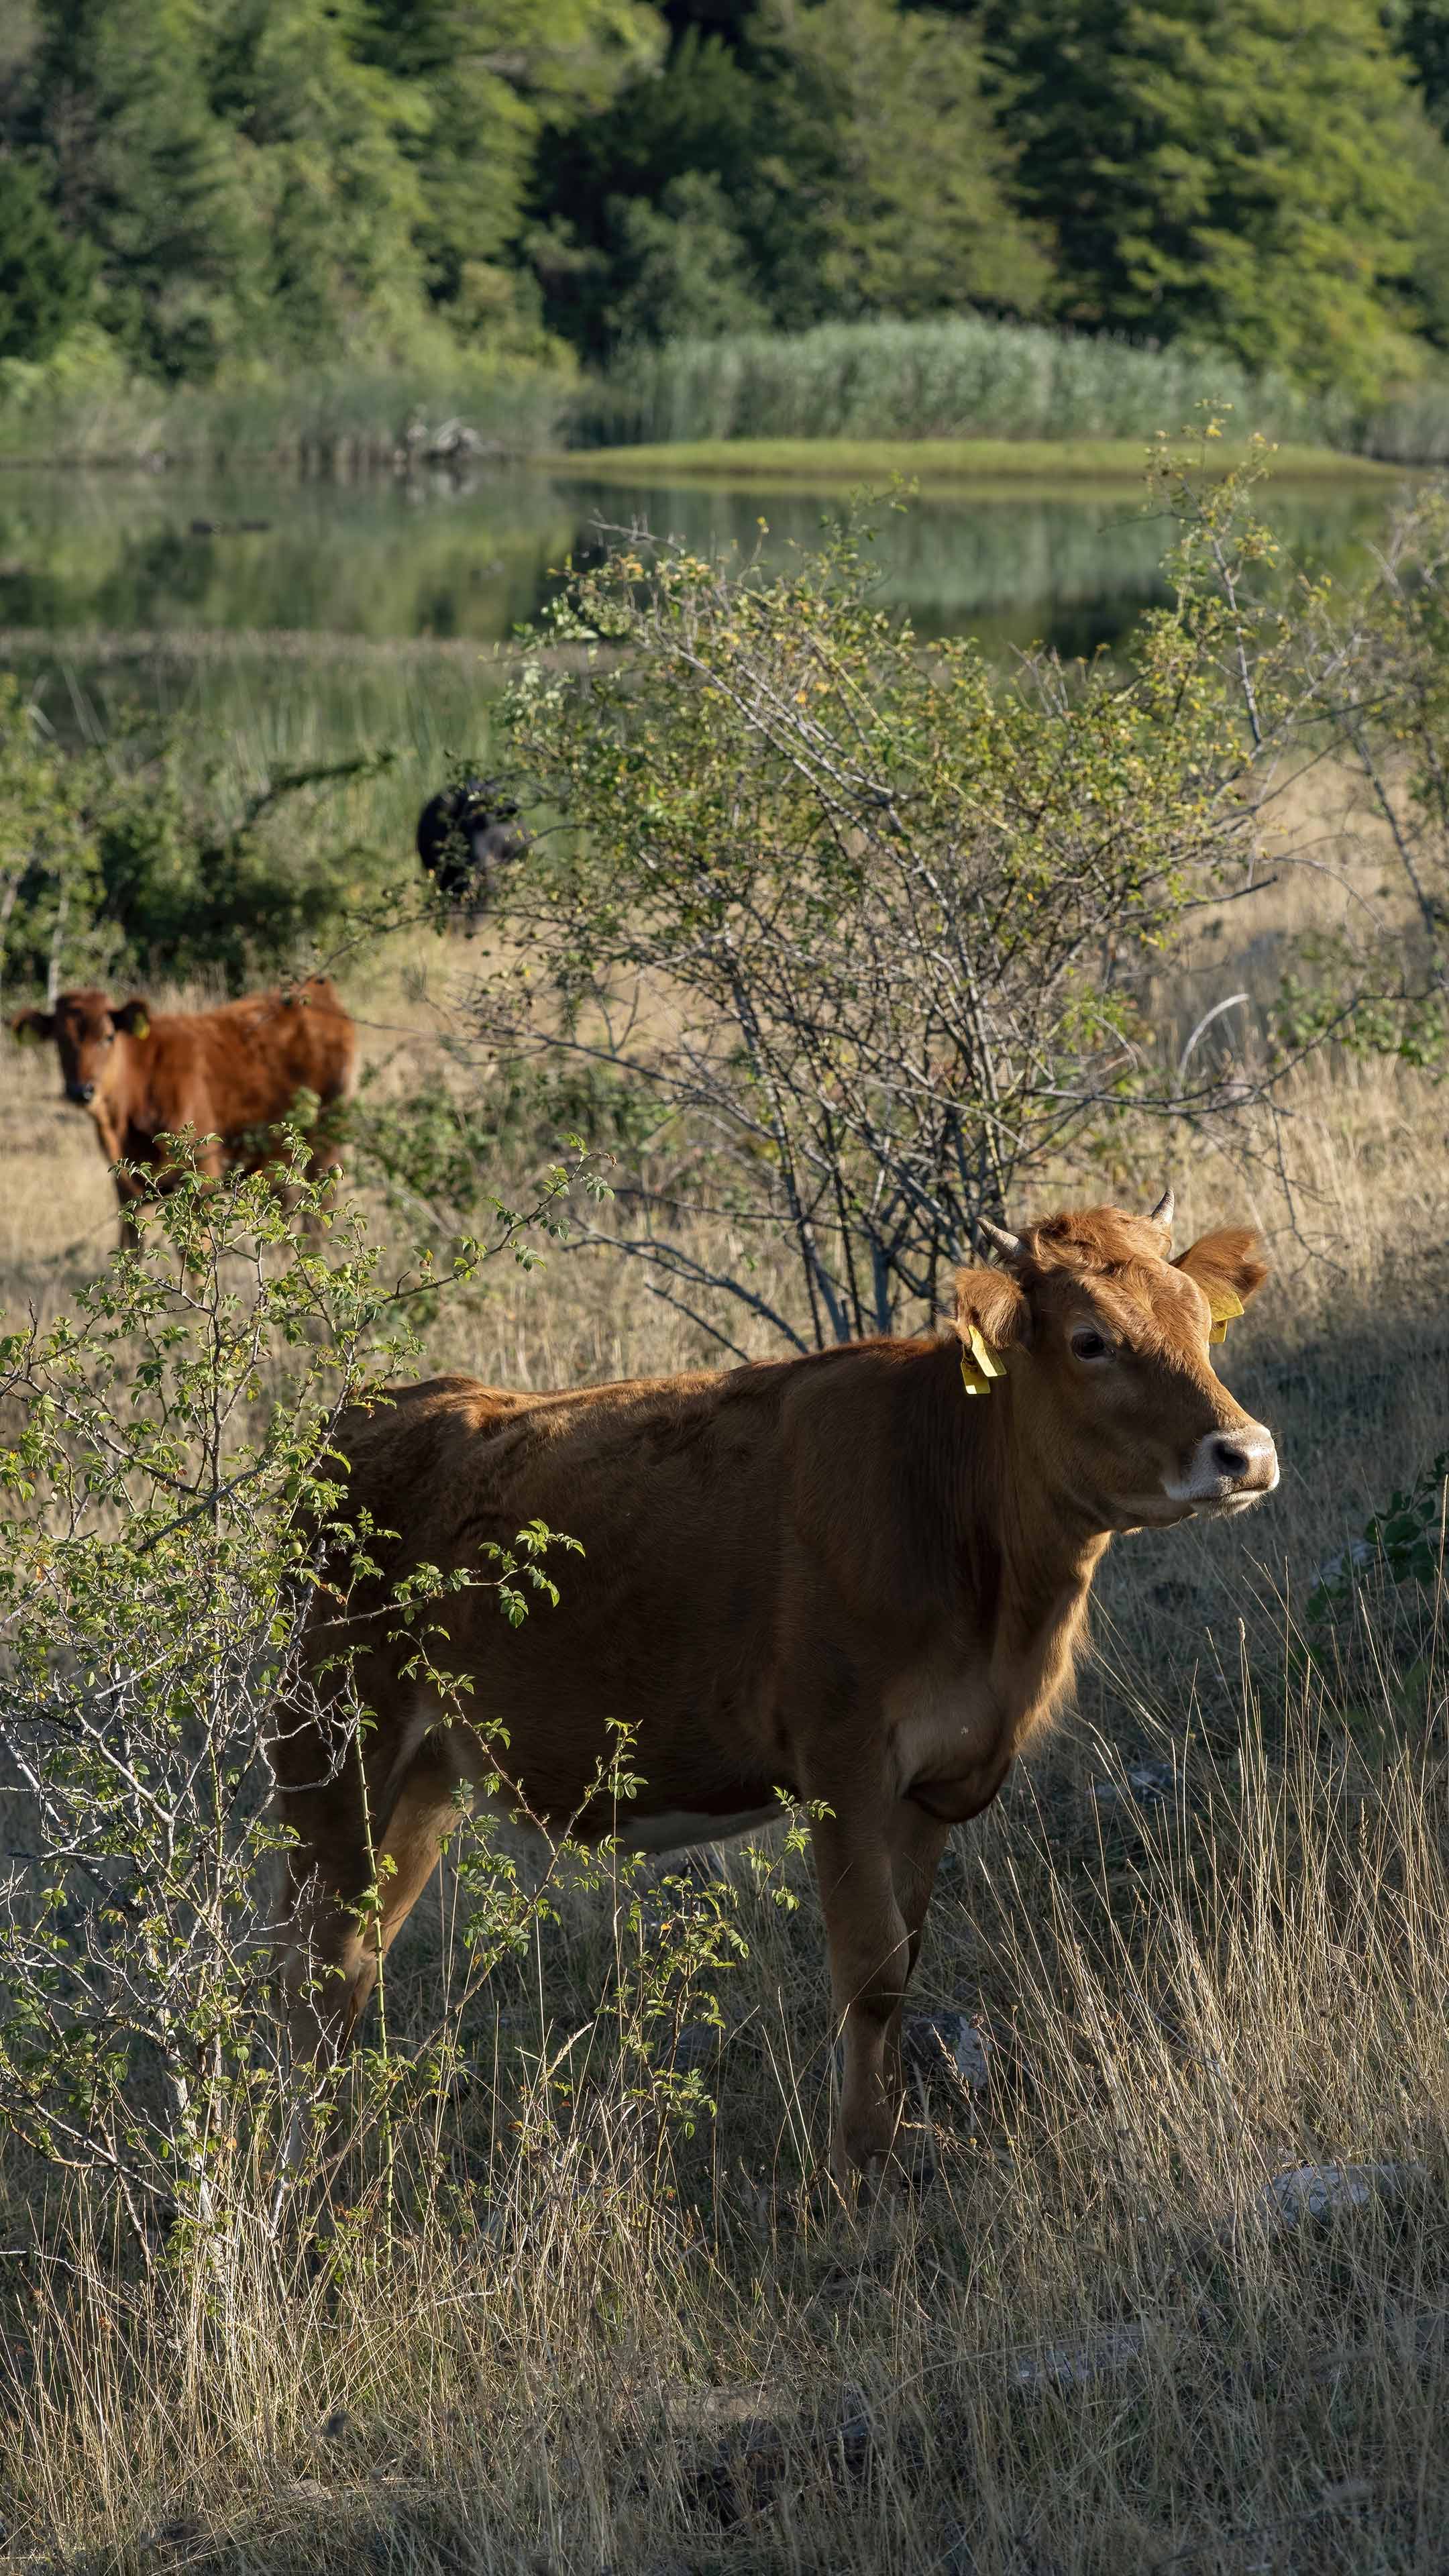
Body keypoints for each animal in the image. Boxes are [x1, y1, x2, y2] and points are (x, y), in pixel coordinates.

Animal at [11, 973, 356, 1246]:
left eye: (108, 1036)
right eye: (59, 1041)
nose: (81, 1091)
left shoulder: (202, 1174)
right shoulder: (124, 1186)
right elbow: (130, 1248)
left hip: (328, 1138)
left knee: (319, 1211)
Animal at [273, 1200, 1273, 2194]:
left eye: (1200, 1320)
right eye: (1090, 1340)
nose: (1248, 1452)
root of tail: (381, 1411)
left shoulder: (937, 1778)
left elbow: (906, 1955)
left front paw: (895, 2141)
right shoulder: (842, 1760)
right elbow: (869, 1966)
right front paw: (858, 2165)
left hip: (426, 1781)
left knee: (357, 1958)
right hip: (331, 1752)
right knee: (314, 1961)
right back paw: (294, 2168)